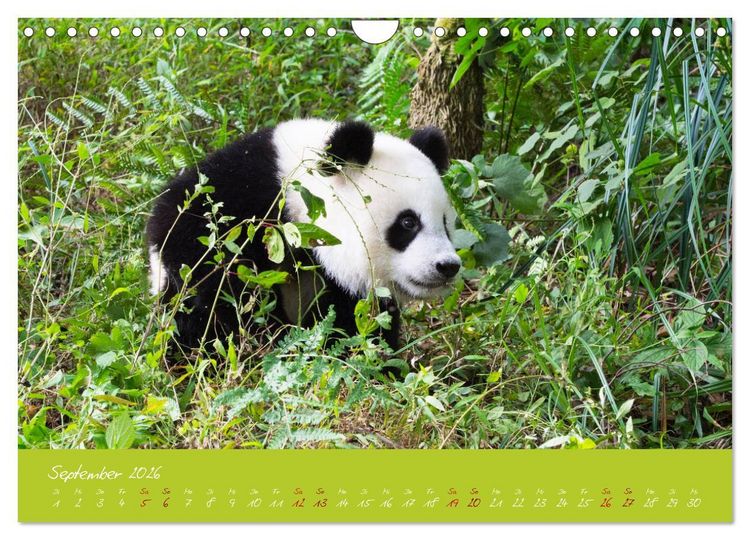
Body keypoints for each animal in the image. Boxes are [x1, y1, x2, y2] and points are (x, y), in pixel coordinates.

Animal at [146, 119, 461, 351]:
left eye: (446, 223)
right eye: (408, 222)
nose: (447, 266)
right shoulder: (240, 194)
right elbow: (198, 251)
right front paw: (263, 334)